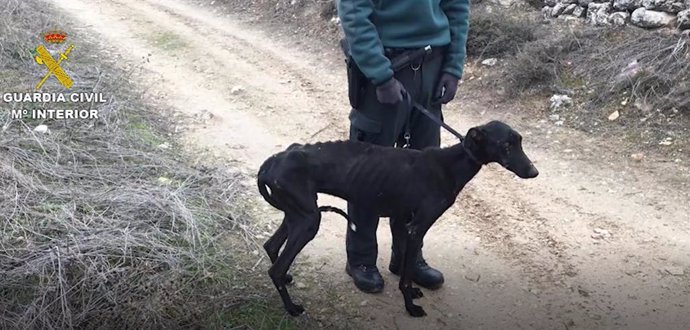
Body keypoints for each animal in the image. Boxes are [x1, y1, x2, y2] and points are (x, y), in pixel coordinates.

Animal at [256, 120, 536, 316]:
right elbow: (405, 273)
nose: (534, 172)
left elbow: (404, 264)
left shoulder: (403, 222)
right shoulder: (417, 227)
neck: (450, 165)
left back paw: (287, 279)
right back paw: (291, 308)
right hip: (308, 221)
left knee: (271, 246)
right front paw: (411, 307)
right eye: (506, 146)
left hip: (298, 214)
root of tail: (271, 162)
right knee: (275, 269)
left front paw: (412, 290)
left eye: (520, 142)